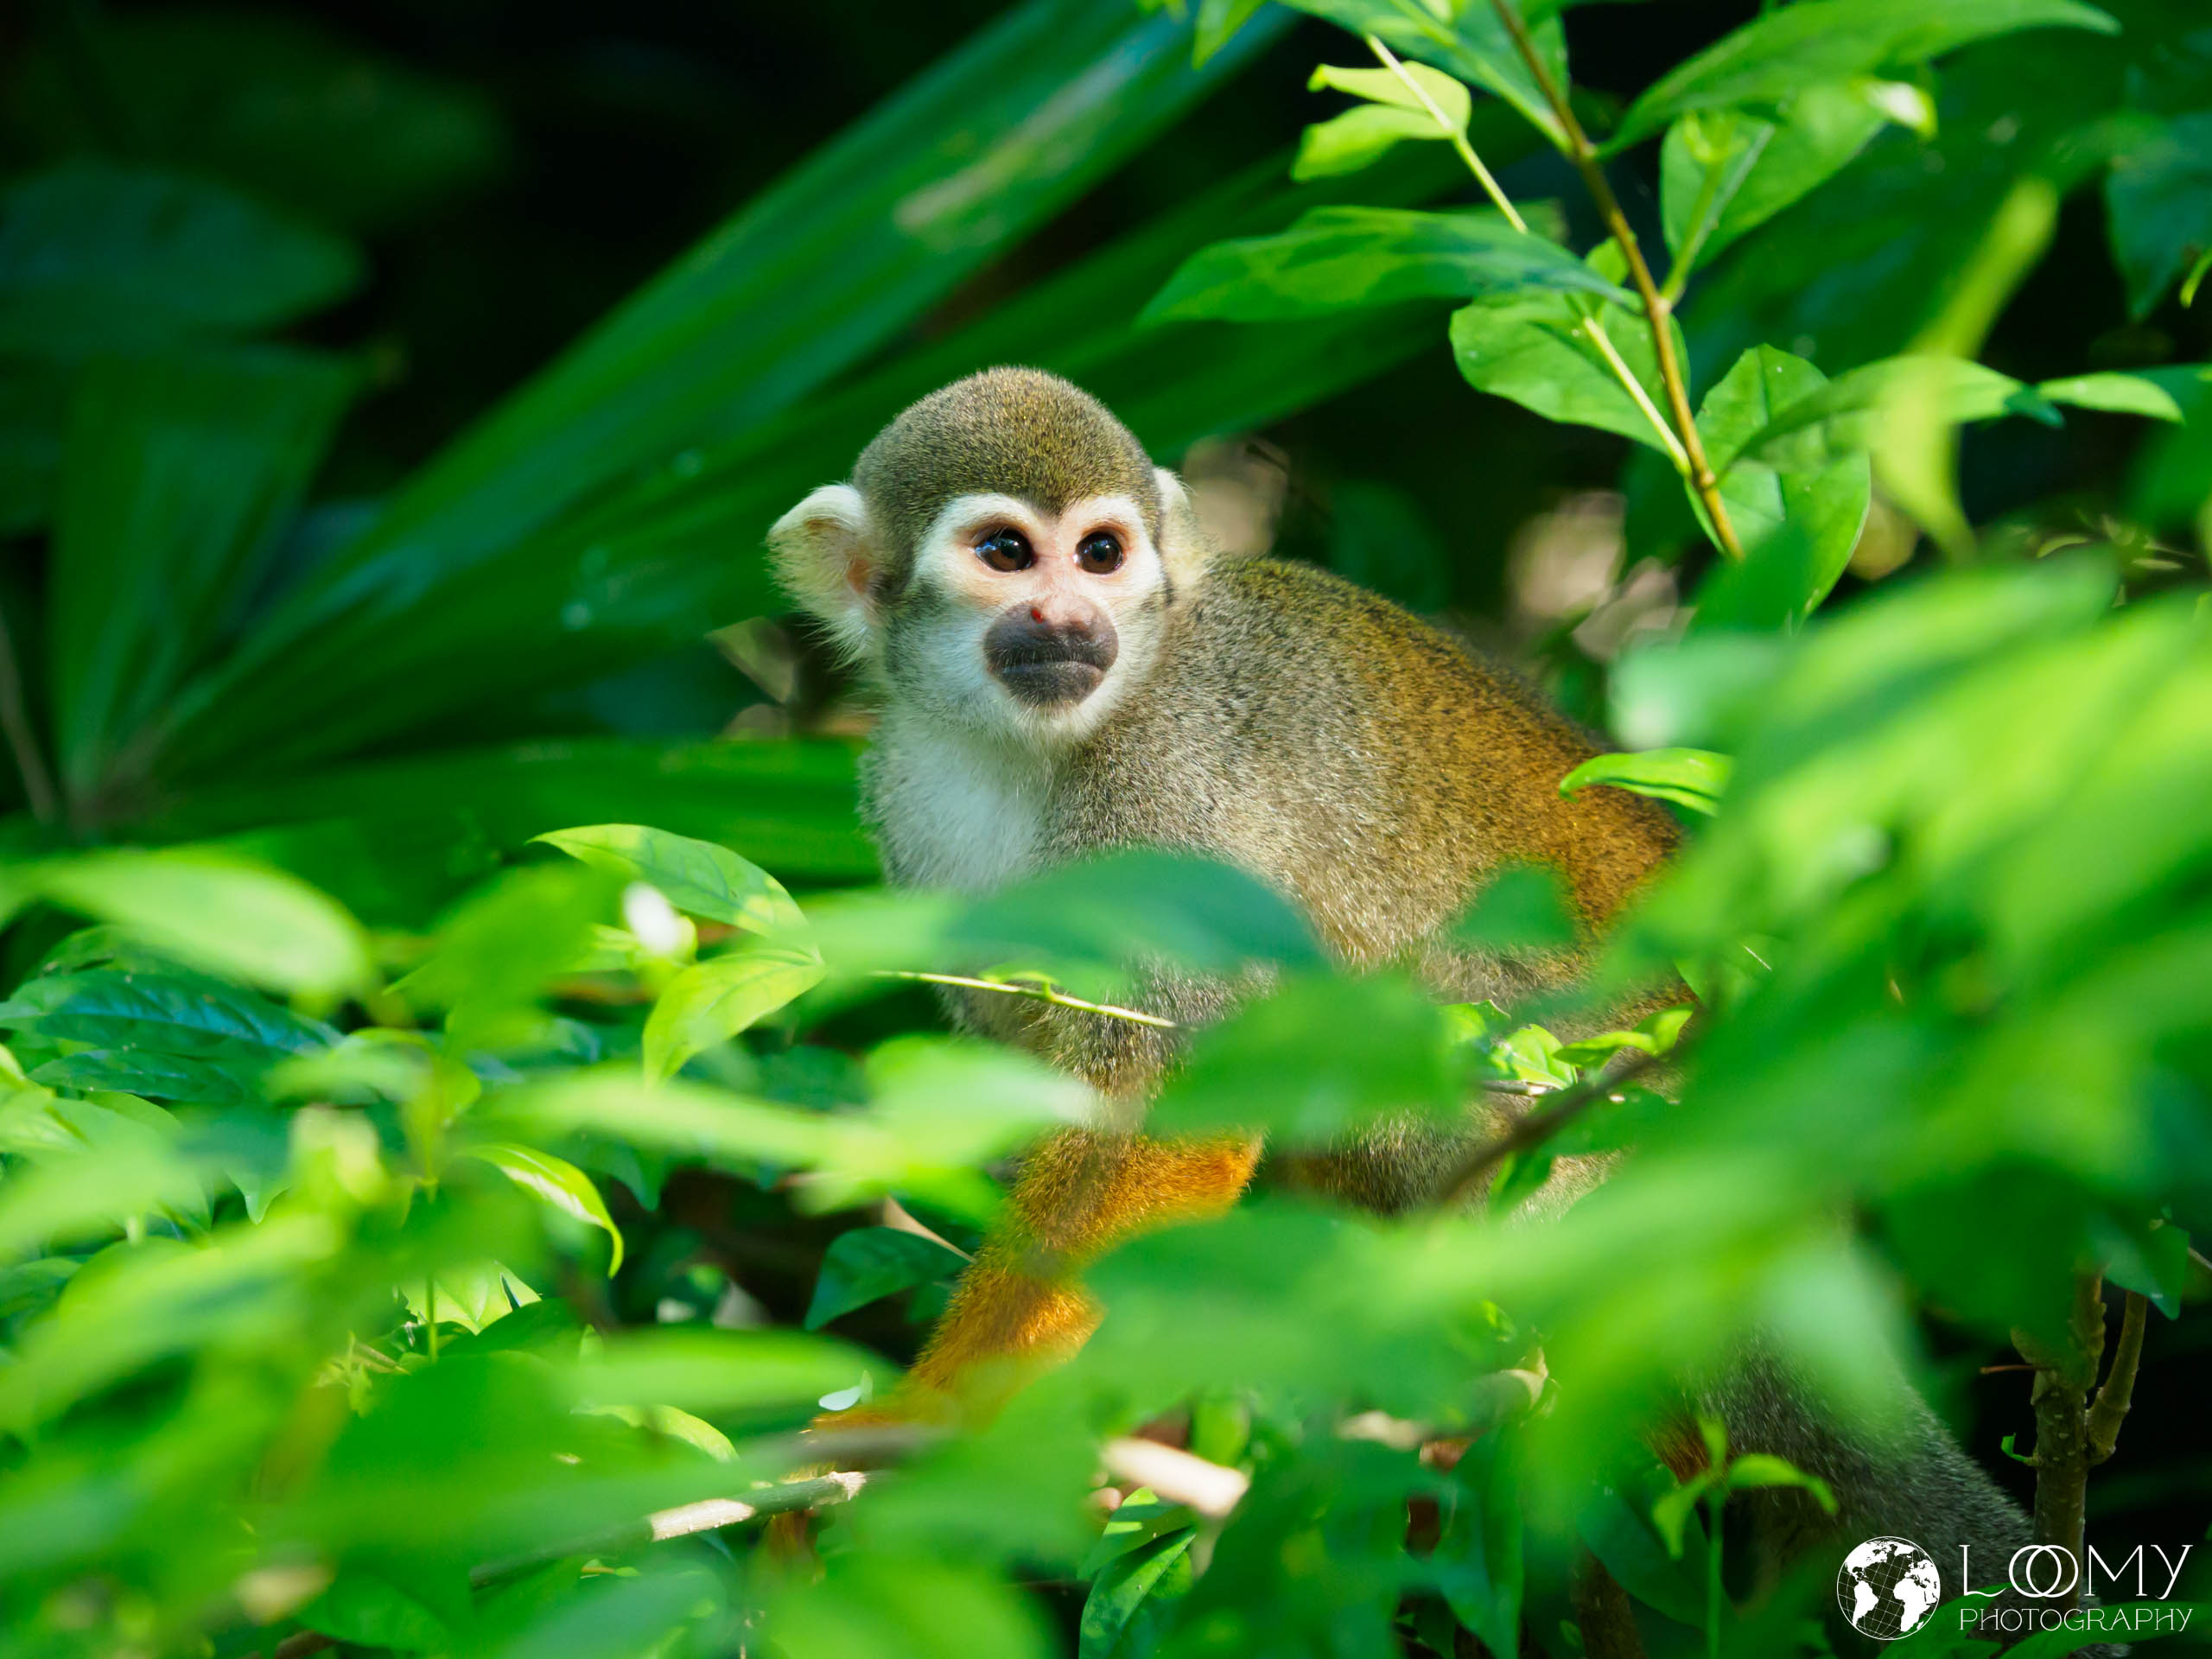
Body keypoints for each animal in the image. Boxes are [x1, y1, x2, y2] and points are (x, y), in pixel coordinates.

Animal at [766, 366, 2049, 1646]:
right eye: (1002, 552)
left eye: (1098, 553)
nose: (1070, 621)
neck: (1022, 746)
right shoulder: (909, 805)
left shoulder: (1162, 791)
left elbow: (1168, 1109)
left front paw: (921, 1421)